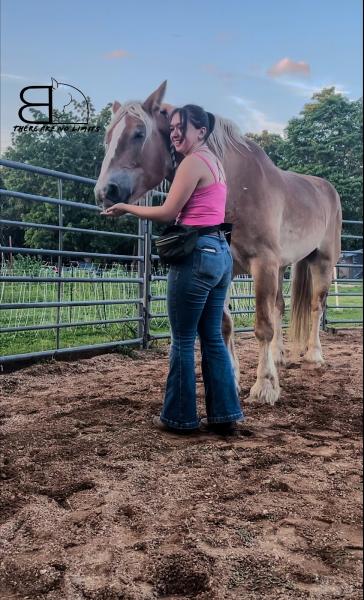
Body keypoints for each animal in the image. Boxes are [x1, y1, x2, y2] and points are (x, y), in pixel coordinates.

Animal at [94, 81, 342, 408]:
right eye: (108, 137)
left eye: (138, 133)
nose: (105, 192)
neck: (234, 184)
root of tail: (326, 188)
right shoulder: (230, 268)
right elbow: (225, 326)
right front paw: (233, 379)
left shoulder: (263, 263)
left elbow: (262, 326)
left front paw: (265, 386)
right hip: (284, 266)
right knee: (280, 306)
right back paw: (279, 357)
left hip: (322, 261)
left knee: (316, 305)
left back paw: (314, 356)